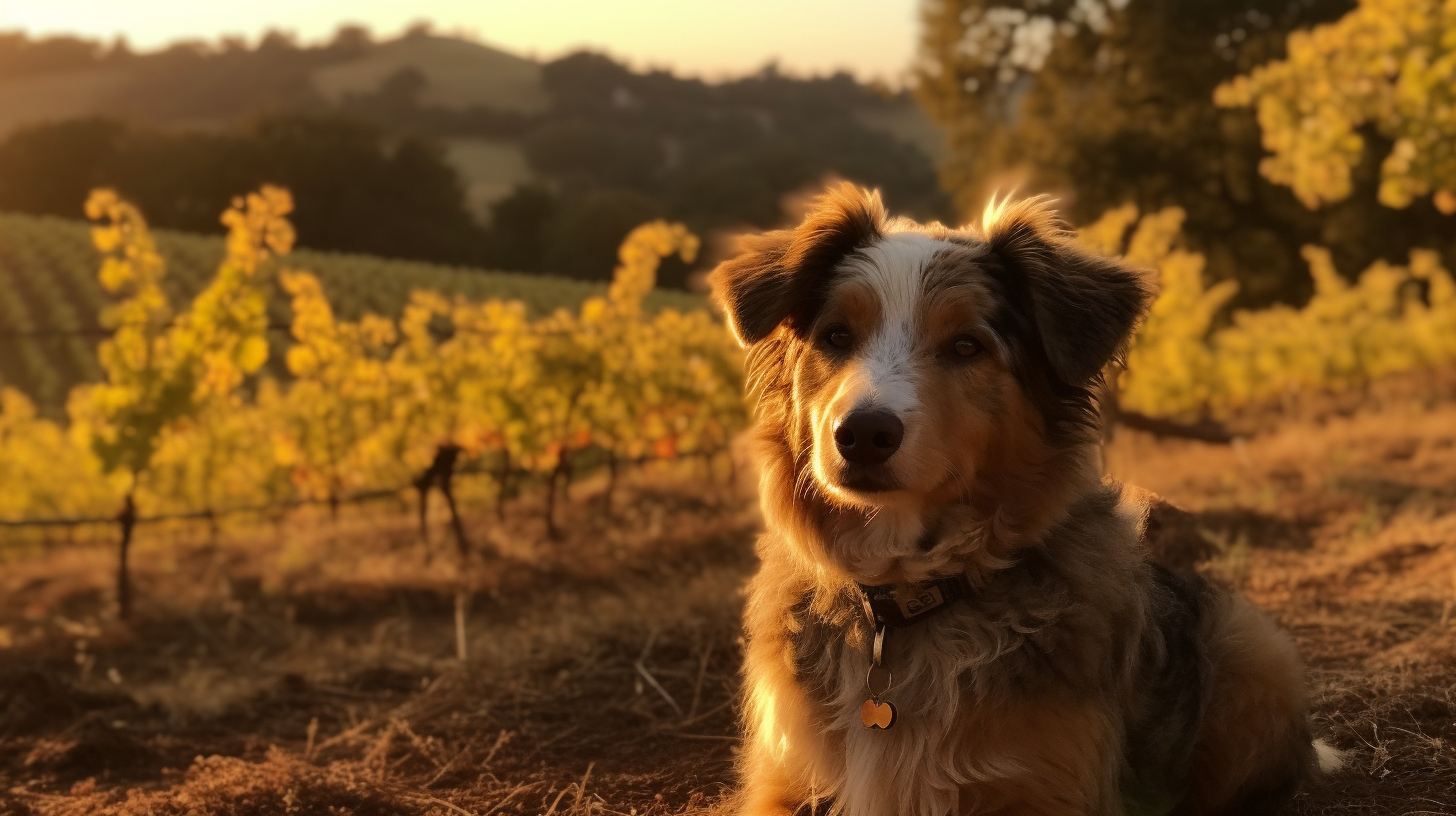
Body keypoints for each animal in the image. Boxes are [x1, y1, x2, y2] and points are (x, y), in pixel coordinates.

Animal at [704, 185, 1333, 816]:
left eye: (967, 345)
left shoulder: (1046, 788)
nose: (861, 435)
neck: (904, 599)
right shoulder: (787, 779)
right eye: (836, 336)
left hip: (1256, 648)